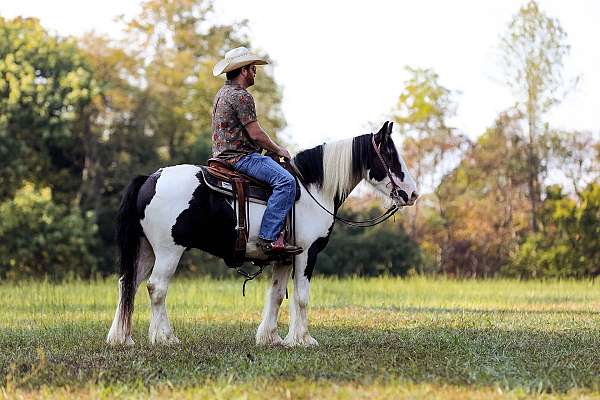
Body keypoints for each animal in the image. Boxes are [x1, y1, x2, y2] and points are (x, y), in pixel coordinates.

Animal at [106, 121, 418, 346]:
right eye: (390, 155)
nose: (413, 193)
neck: (312, 188)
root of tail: (151, 178)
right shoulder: (307, 253)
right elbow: (302, 297)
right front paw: (303, 340)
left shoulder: (284, 257)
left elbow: (277, 296)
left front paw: (272, 338)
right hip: (169, 250)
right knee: (156, 287)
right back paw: (166, 337)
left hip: (146, 249)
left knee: (128, 284)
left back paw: (123, 338)